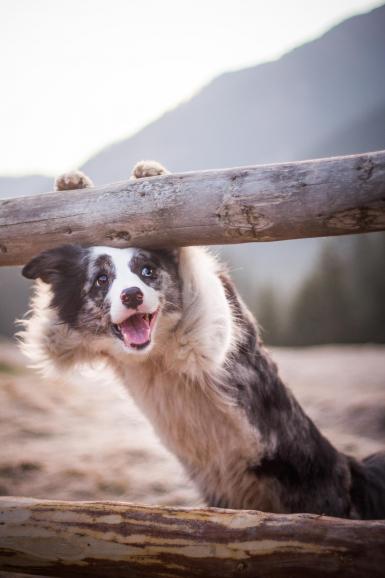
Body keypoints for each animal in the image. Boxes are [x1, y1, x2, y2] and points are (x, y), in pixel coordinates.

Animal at [21, 160, 384, 516]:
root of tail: (349, 469)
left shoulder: (209, 333)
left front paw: (151, 172)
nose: (133, 296)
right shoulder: (63, 340)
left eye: (147, 271)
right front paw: (71, 184)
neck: (155, 353)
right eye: (101, 279)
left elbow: (190, 258)